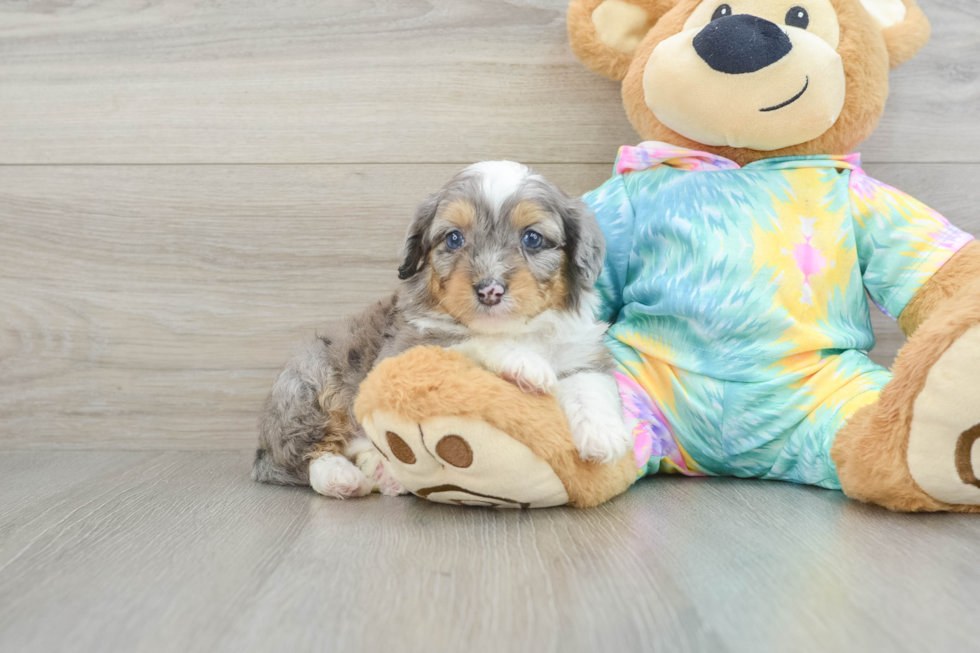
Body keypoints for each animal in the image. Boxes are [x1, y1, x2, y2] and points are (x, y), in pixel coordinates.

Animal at [253, 160, 632, 496]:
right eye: (453, 239)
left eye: (533, 239)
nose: (490, 289)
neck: (514, 329)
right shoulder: (403, 352)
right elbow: (466, 340)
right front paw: (524, 362)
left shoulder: (579, 349)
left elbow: (590, 382)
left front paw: (604, 435)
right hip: (307, 385)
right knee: (304, 453)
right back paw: (339, 476)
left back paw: (382, 470)